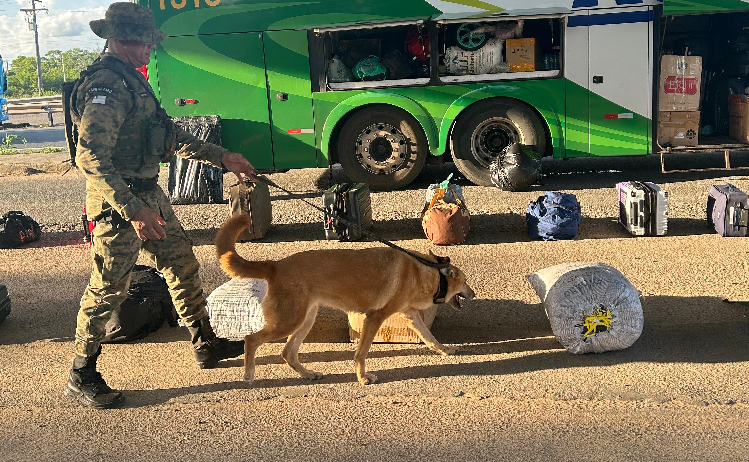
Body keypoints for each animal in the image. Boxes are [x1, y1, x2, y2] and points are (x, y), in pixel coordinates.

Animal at [215, 215, 474, 384]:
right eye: (465, 281)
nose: (473, 294)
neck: (427, 272)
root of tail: (275, 265)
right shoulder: (374, 317)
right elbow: (361, 353)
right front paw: (362, 377)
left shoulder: (411, 316)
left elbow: (431, 338)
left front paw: (444, 351)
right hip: (288, 322)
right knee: (251, 339)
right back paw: (249, 374)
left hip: (304, 320)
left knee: (287, 353)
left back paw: (308, 374)